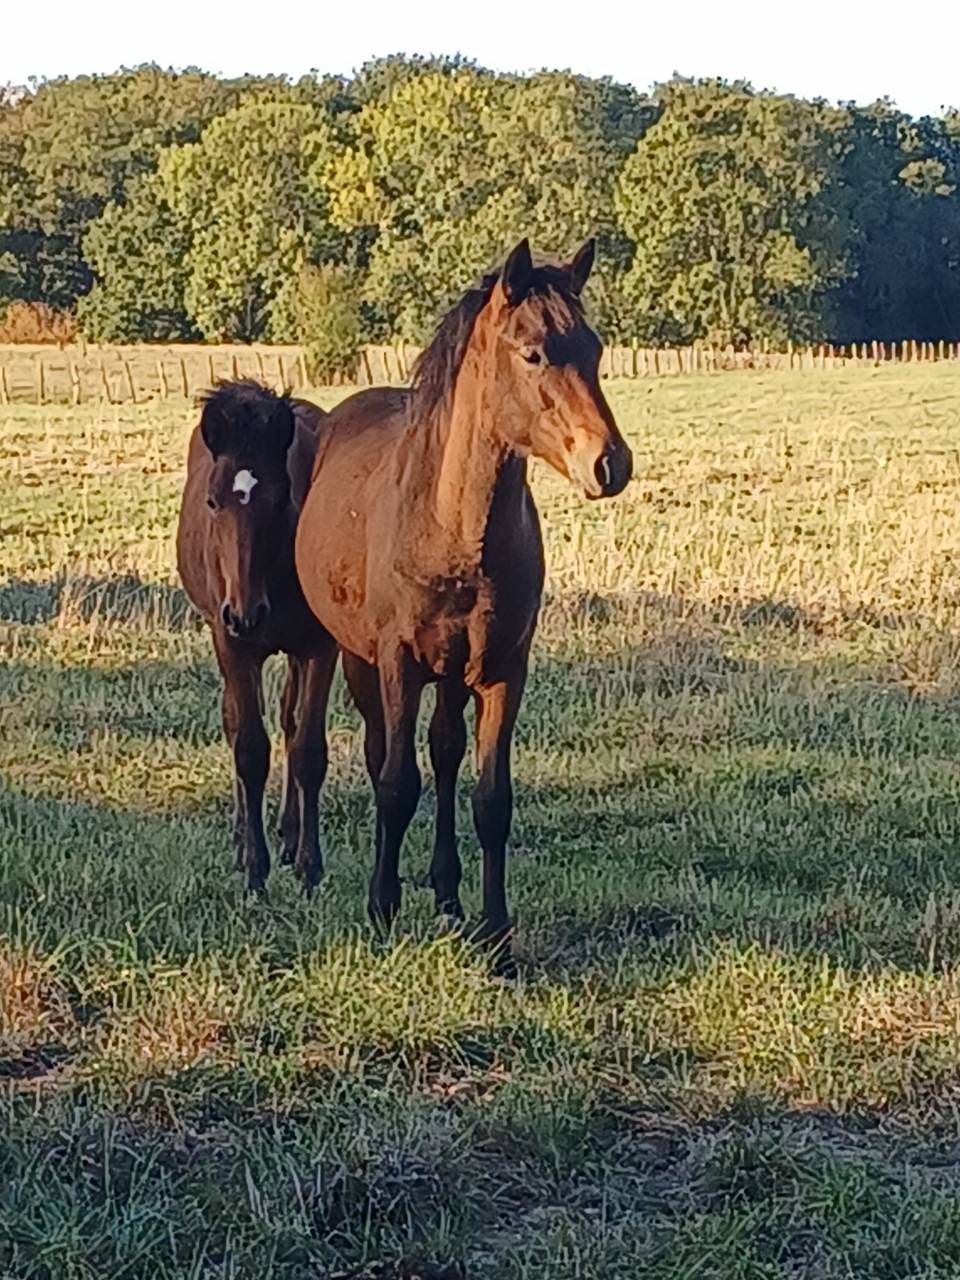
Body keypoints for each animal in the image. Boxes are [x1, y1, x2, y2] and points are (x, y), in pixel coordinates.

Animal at [176, 381, 338, 894]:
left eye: (282, 500)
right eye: (213, 501)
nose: (246, 615)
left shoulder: (319, 647)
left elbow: (307, 749)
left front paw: (309, 866)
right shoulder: (233, 645)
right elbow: (248, 746)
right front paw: (254, 869)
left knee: (288, 720)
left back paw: (288, 834)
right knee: (234, 723)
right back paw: (241, 840)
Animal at [295, 238, 633, 973]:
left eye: (594, 348)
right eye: (533, 352)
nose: (610, 465)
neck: (453, 530)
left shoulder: (504, 668)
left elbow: (489, 799)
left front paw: (495, 936)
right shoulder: (397, 662)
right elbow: (397, 784)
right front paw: (382, 911)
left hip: (452, 675)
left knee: (446, 756)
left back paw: (448, 895)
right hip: (355, 660)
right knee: (380, 757)